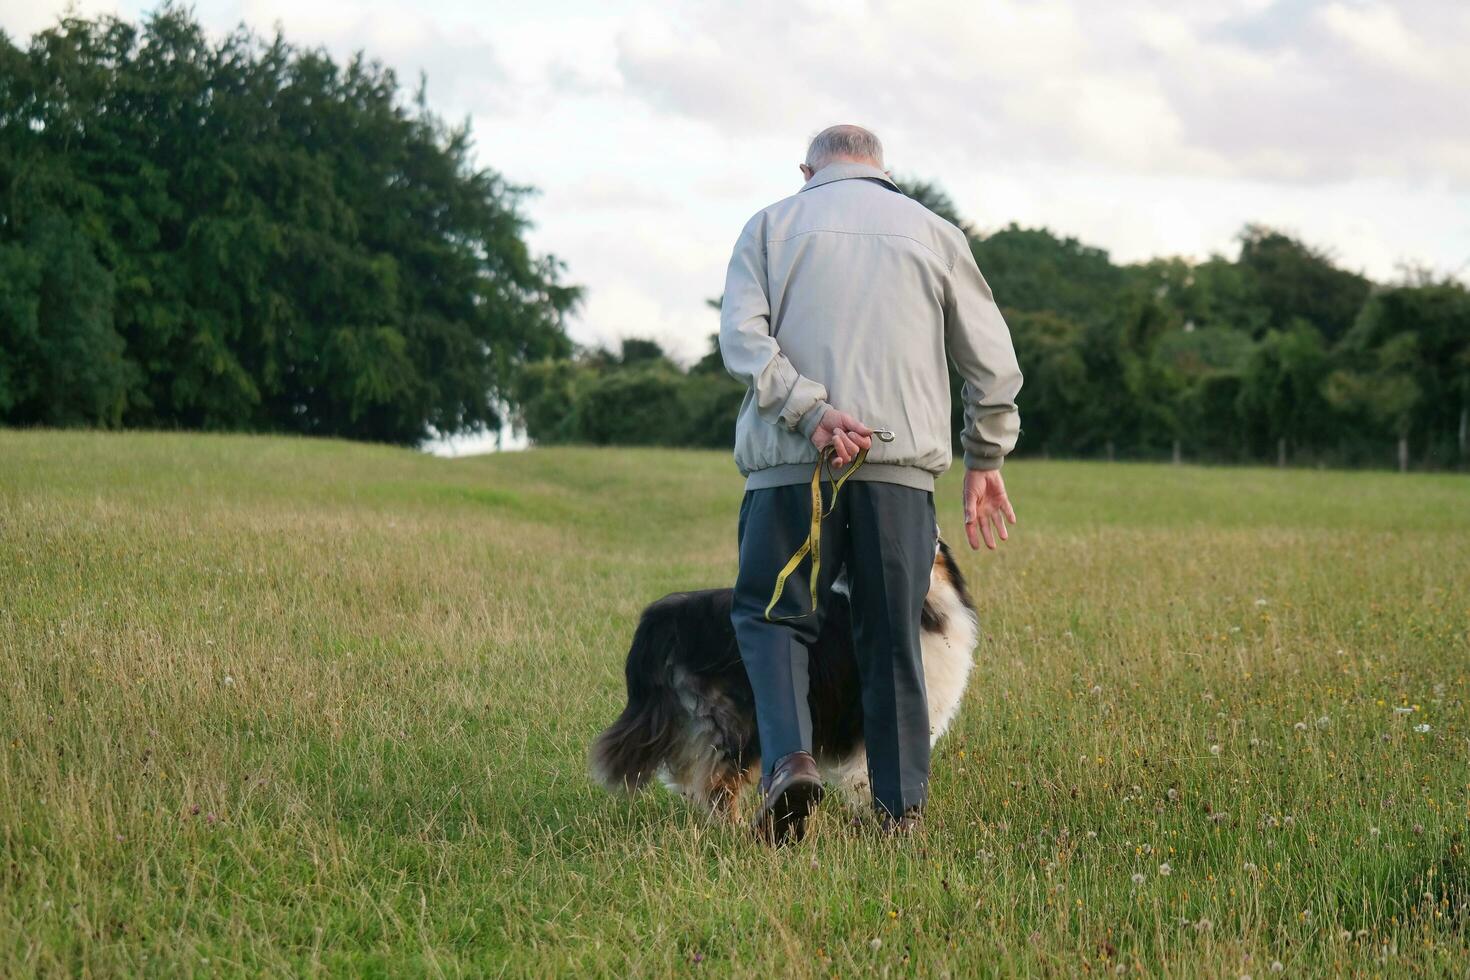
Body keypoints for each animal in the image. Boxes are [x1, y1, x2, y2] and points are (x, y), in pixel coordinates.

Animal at [585, 540, 976, 816]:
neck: (927, 612)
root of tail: (669, 614)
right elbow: (869, 773)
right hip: (742, 720)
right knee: (717, 783)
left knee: (691, 771)